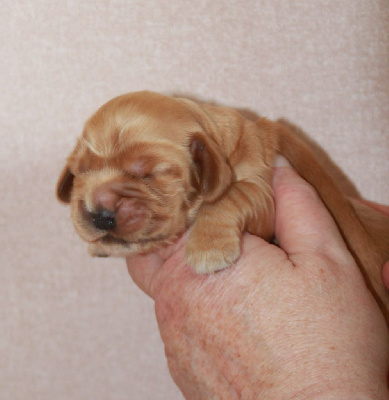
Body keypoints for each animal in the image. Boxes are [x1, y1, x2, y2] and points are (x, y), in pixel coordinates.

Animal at [56, 90, 388, 322]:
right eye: (79, 171)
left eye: (147, 173)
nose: (98, 215)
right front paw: (99, 246)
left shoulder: (261, 191)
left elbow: (230, 196)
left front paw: (208, 249)